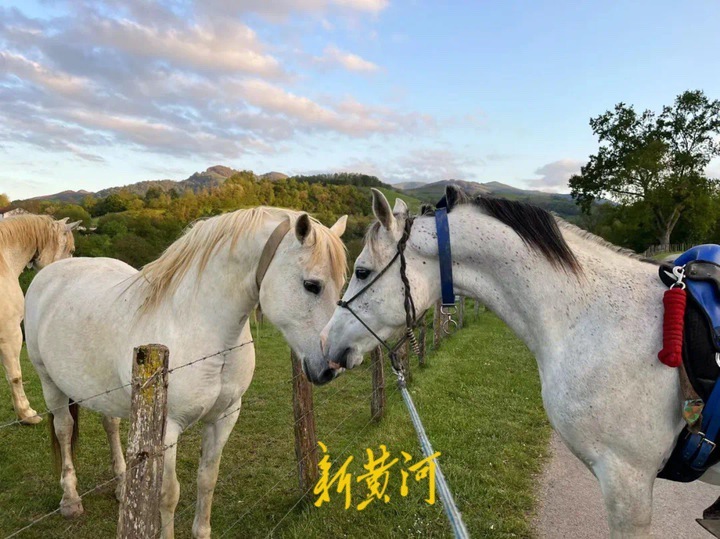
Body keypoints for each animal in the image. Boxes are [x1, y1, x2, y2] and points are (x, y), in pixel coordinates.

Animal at [24, 207, 347, 538]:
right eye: (311, 285)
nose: (333, 363)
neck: (200, 326)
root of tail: (51, 272)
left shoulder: (225, 416)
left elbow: (208, 478)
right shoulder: (169, 428)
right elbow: (169, 494)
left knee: (110, 425)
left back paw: (123, 487)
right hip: (50, 383)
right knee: (63, 430)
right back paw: (70, 499)